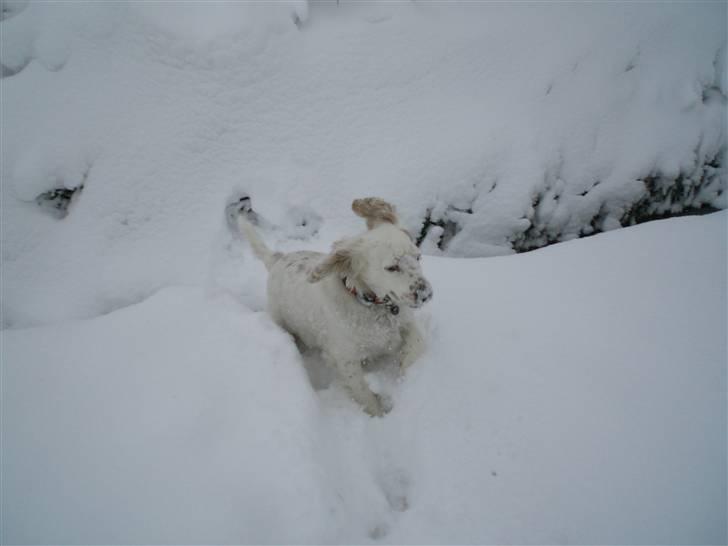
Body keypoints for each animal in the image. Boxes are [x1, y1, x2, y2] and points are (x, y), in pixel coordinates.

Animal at [228, 194, 432, 412]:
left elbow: (418, 343)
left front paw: (405, 368)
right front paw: (378, 413)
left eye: (418, 257)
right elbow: (363, 393)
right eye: (392, 267)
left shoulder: (405, 322)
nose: (426, 294)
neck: (372, 305)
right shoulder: (345, 358)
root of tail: (277, 259)